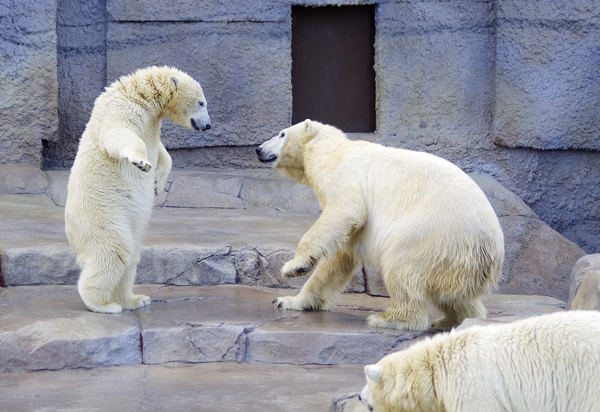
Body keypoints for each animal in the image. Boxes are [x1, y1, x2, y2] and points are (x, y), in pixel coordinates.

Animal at [65, 66, 211, 314]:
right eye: (201, 102)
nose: (208, 125)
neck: (141, 94)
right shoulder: (122, 108)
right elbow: (118, 135)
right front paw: (140, 162)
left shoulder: (151, 124)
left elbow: (162, 151)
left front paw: (157, 183)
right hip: (102, 215)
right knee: (114, 251)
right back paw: (104, 304)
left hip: (130, 224)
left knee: (132, 257)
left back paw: (135, 299)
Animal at [255, 120, 504, 332]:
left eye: (282, 133)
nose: (258, 149)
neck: (330, 149)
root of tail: (489, 249)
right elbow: (337, 260)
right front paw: (287, 300)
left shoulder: (342, 174)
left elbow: (344, 210)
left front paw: (293, 267)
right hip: (459, 262)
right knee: (457, 297)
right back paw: (451, 320)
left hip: (432, 235)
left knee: (402, 268)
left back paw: (389, 318)